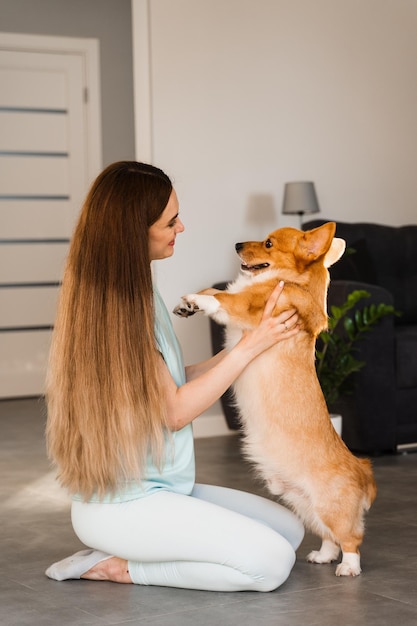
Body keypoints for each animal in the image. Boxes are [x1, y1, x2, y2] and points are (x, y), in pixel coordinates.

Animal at [174, 221, 376, 576]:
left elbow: (222, 298)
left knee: (350, 539)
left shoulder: (248, 306)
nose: (237, 245)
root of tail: (361, 468)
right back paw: (322, 556)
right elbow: (215, 290)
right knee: (329, 537)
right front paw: (190, 304)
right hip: (305, 505)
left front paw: (196, 299)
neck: (291, 281)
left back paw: (348, 568)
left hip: (330, 507)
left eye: (268, 243)